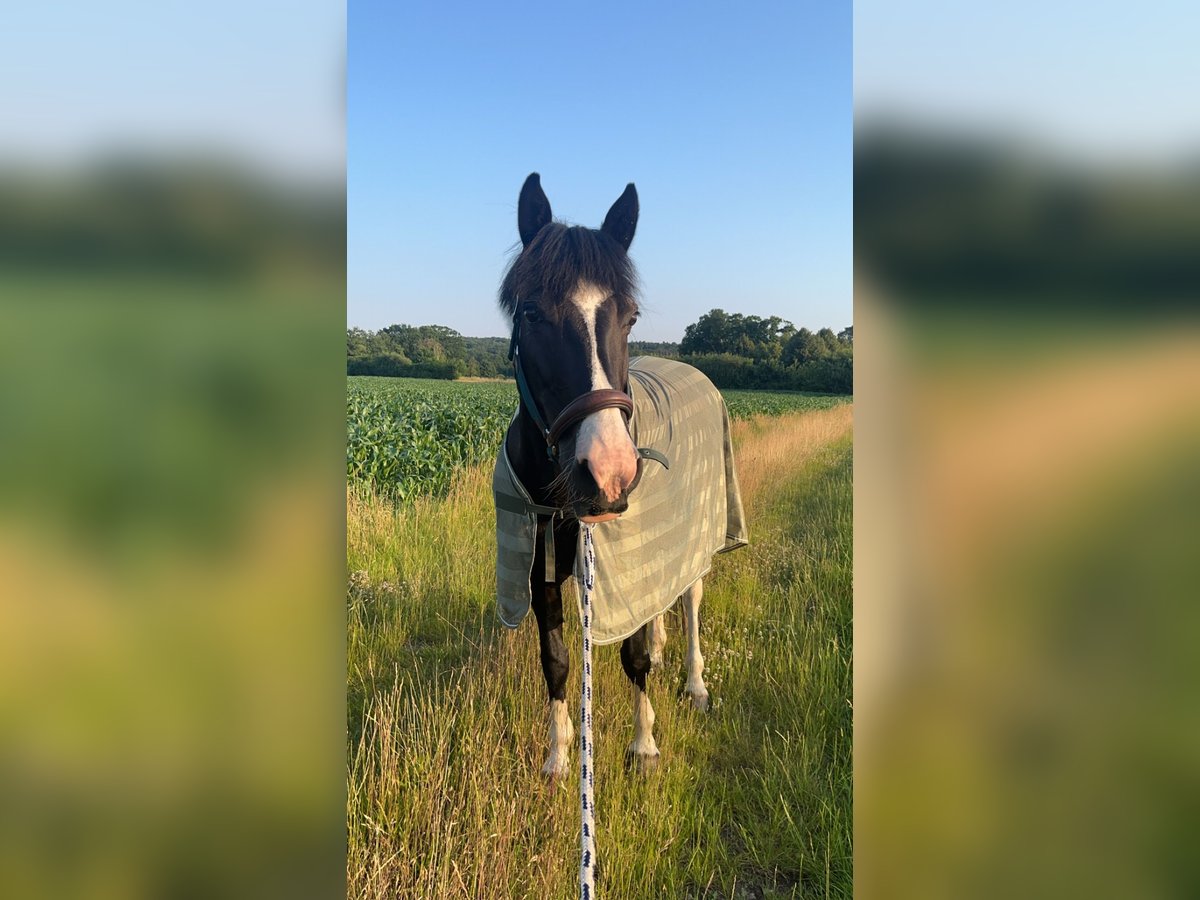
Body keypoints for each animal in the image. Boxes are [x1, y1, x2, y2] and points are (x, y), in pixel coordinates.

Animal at [487, 174, 739, 777]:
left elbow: (635, 656)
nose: (609, 473)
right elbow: (556, 661)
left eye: (630, 317)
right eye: (531, 314)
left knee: (690, 597)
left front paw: (643, 746)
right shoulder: (539, 572)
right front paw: (558, 758)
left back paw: (695, 683)